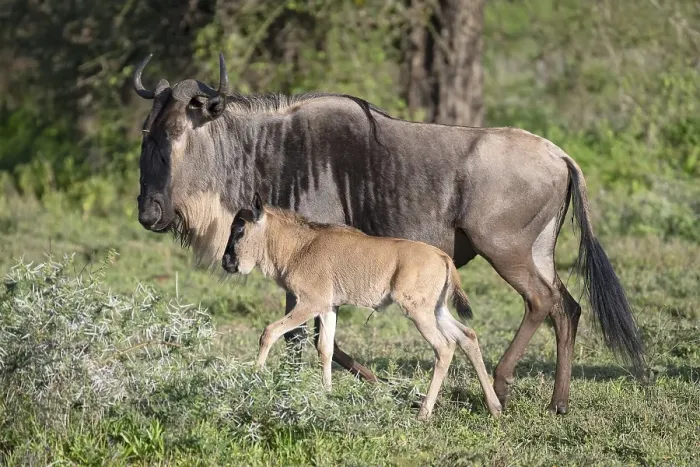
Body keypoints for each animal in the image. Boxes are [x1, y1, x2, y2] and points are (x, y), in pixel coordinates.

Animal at [133, 52, 645, 414]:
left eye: (176, 132)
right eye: (145, 133)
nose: (148, 212)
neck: (267, 150)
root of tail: (560, 155)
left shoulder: (309, 271)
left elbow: (305, 337)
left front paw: (360, 385)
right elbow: (316, 338)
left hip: (507, 251)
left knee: (542, 301)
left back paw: (502, 385)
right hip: (538, 252)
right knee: (568, 307)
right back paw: (558, 403)